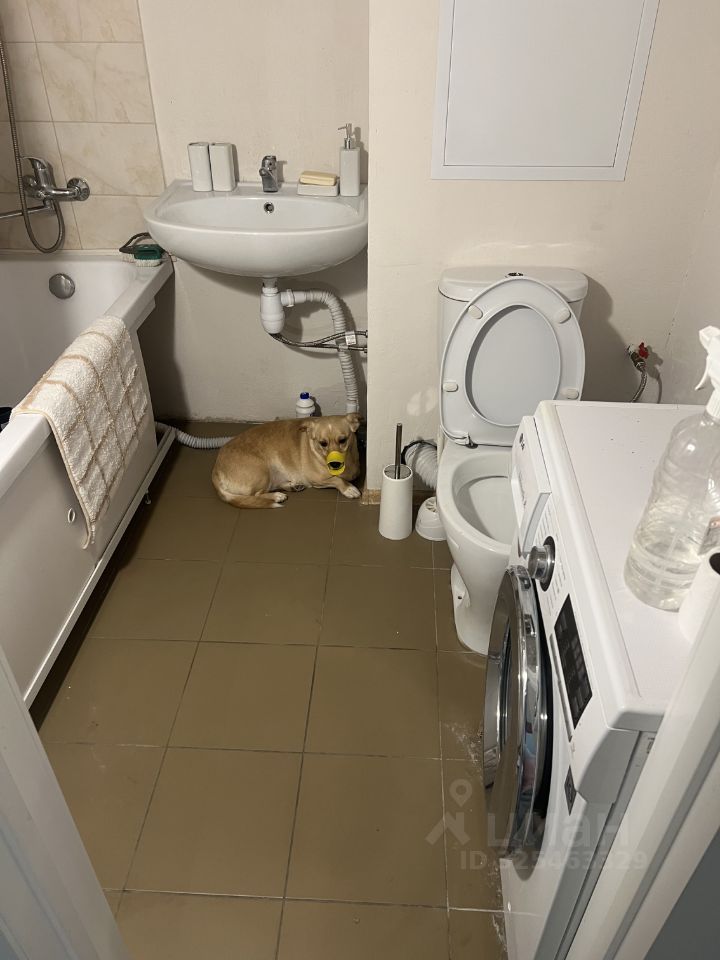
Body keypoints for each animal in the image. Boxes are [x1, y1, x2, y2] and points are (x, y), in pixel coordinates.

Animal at [212, 413, 361, 508]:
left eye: (343, 440)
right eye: (322, 443)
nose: (335, 464)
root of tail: (215, 471)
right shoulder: (316, 479)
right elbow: (336, 480)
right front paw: (348, 488)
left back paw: (292, 486)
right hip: (262, 470)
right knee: (257, 494)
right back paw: (276, 496)